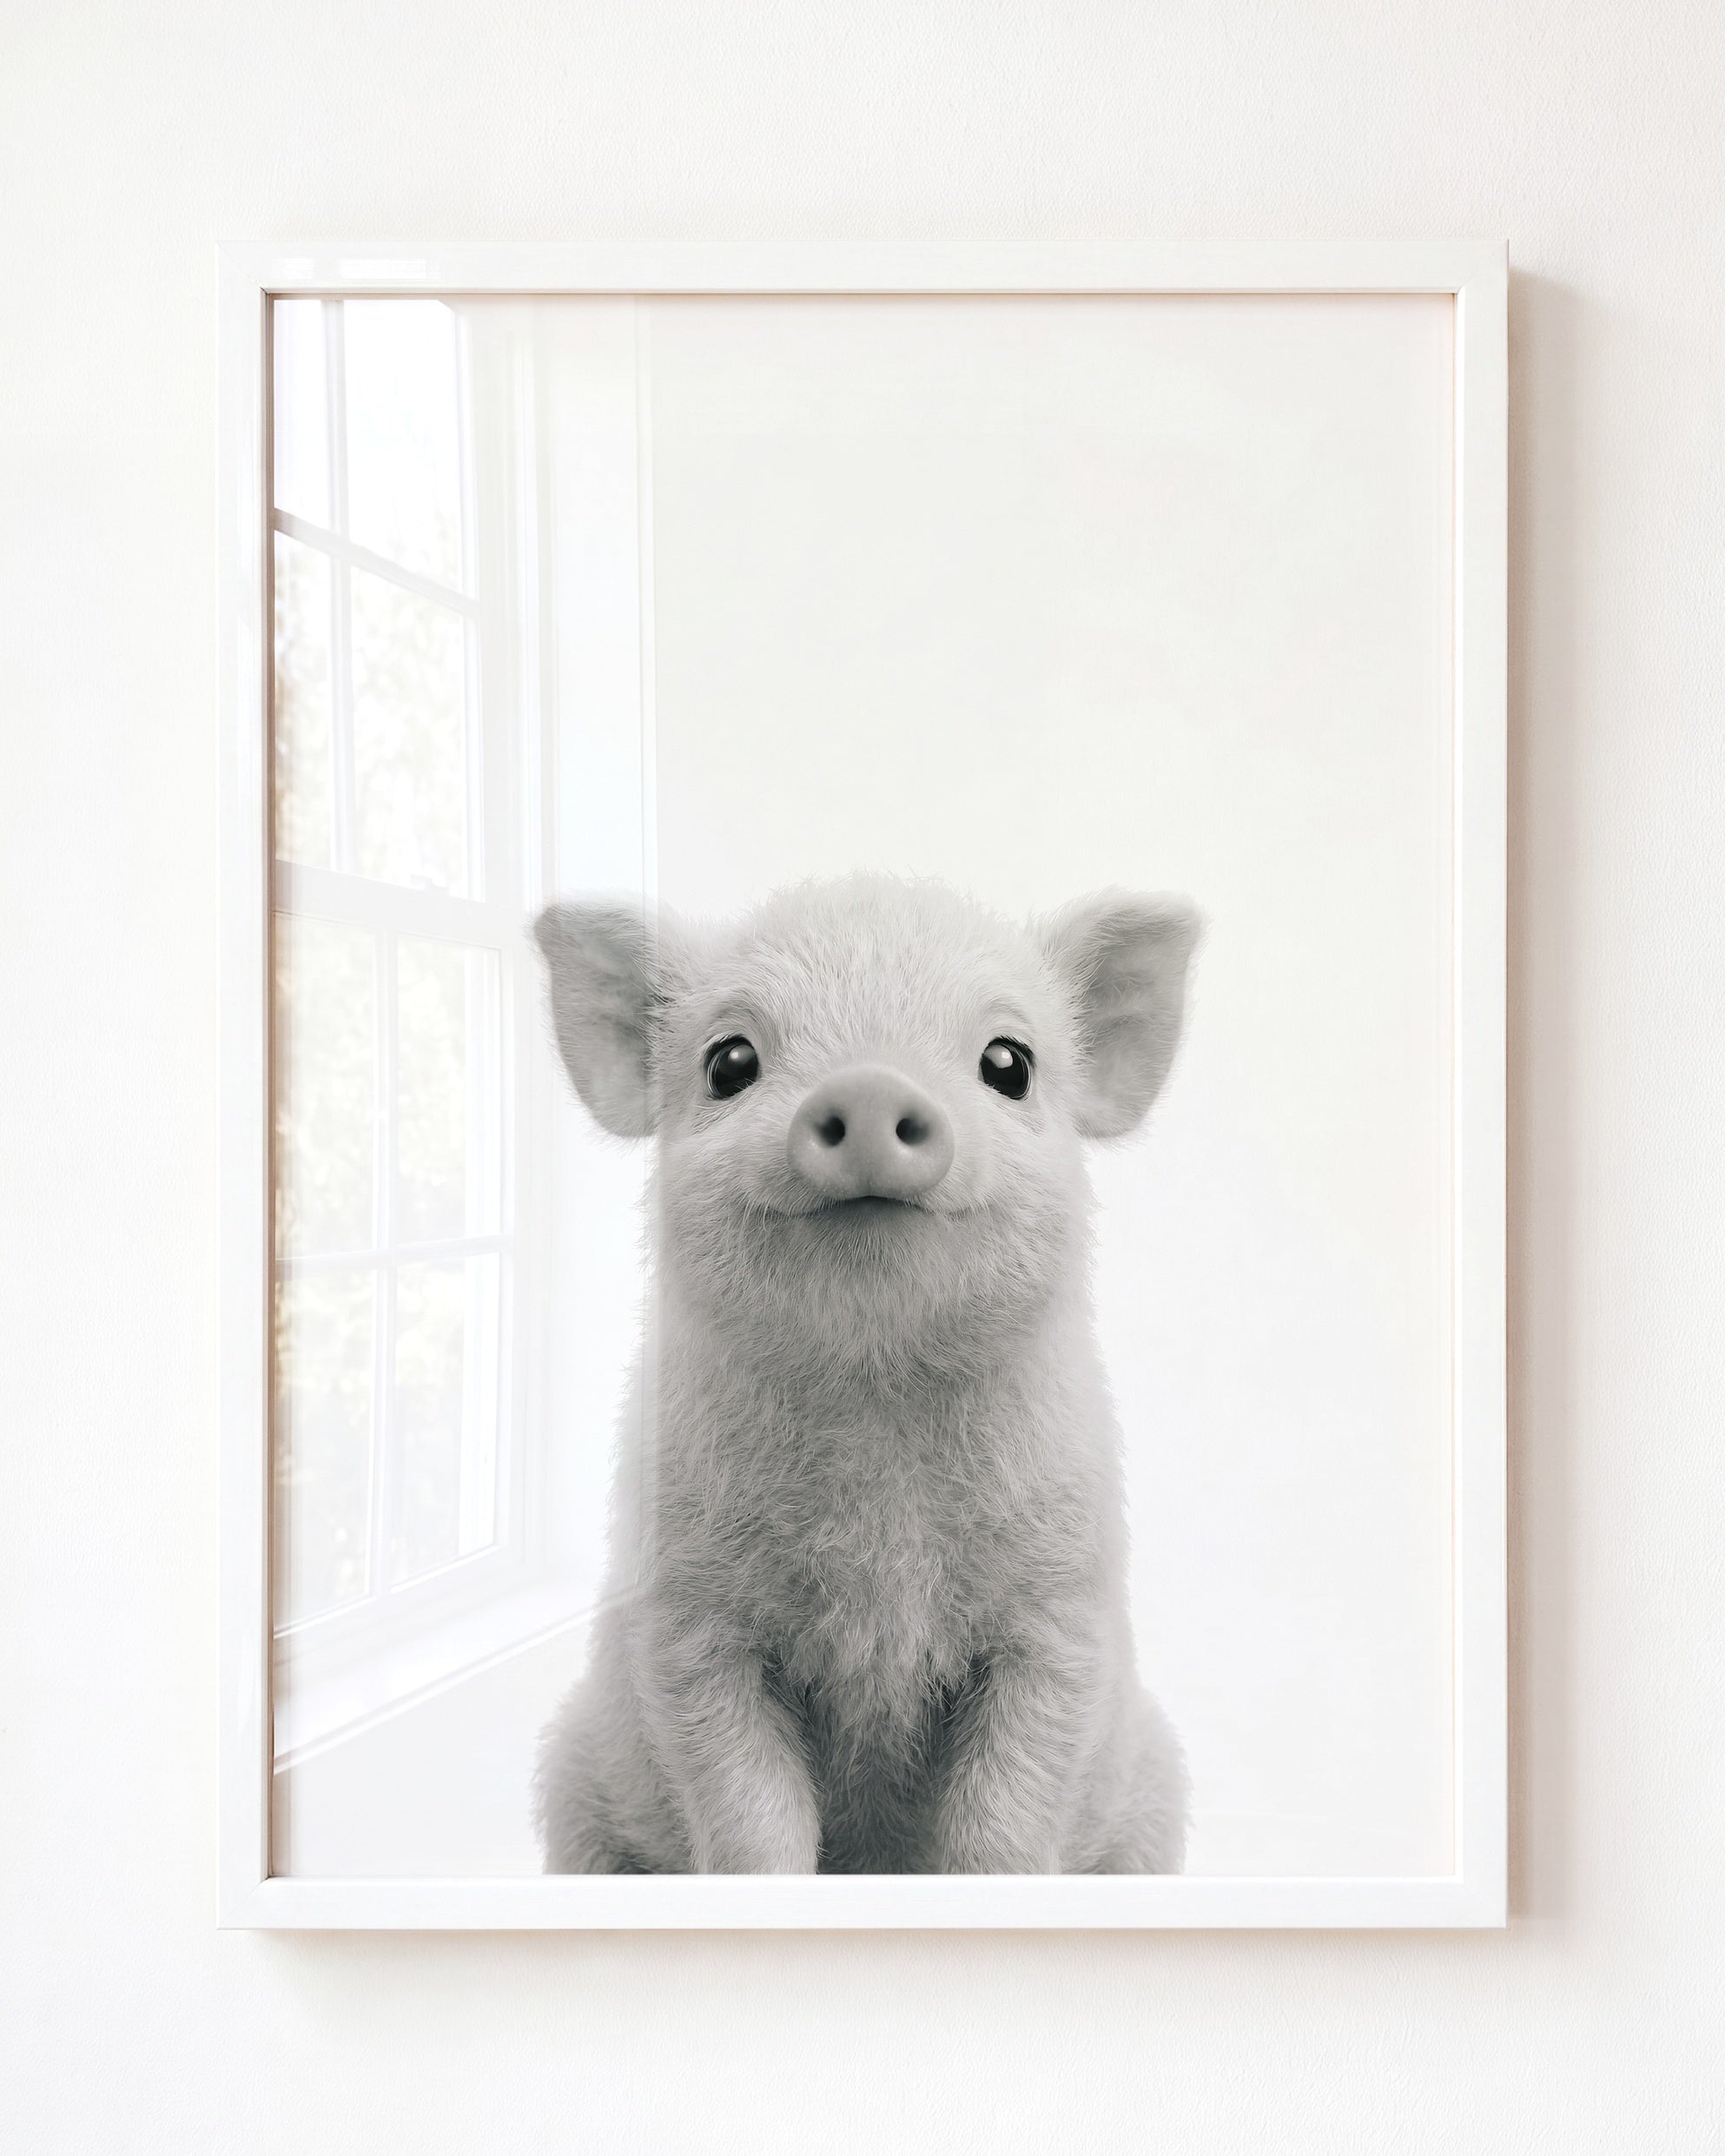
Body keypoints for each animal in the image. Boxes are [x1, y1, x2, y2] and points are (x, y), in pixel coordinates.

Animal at [531, 873, 1198, 1874]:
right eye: (729, 1061)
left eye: (1010, 1063)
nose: (871, 1084)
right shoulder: (687, 1619)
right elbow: (752, 1819)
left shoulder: (1060, 1611)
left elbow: (1003, 1823)